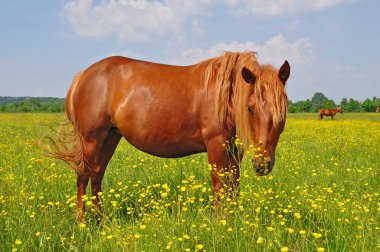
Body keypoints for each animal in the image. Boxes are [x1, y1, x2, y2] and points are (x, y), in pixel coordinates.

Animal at [47, 50, 290, 218]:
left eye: (283, 109)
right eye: (250, 108)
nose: (262, 164)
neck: (226, 95)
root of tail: (83, 75)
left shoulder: (233, 149)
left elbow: (233, 186)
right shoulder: (216, 144)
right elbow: (219, 186)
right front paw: (221, 223)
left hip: (110, 136)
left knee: (97, 174)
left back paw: (100, 220)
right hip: (92, 138)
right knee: (83, 175)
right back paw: (82, 221)